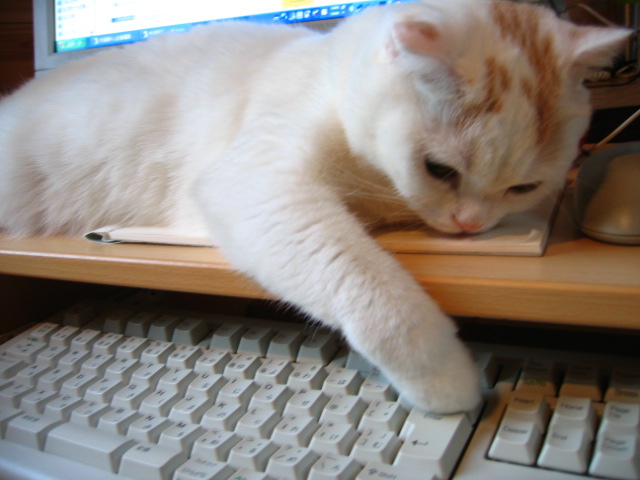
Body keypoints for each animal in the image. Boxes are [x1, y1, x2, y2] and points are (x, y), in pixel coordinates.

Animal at [0, 0, 628, 413]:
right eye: (440, 170)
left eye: (525, 187)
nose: (472, 224)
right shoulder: (259, 182)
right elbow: (377, 292)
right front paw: (451, 380)